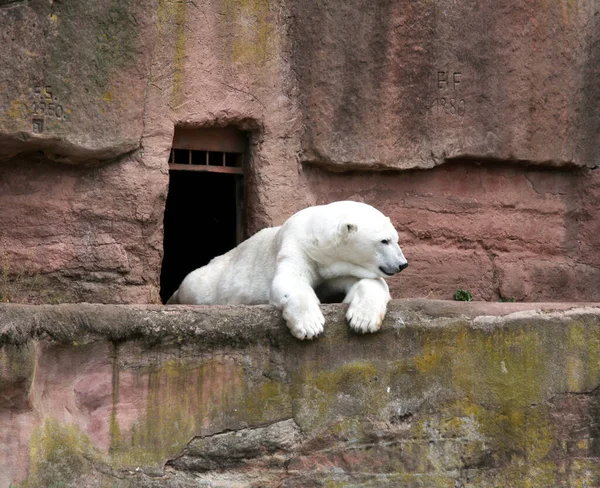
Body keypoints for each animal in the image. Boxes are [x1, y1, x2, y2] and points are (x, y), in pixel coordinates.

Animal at [168, 201, 408, 340]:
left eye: (396, 239)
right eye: (384, 241)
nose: (402, 264)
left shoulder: (340, 267)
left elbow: (369, 282)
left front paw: (363, 321)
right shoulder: (296, 246)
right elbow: (290, 281)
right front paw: (310, 326)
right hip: (209, 281)